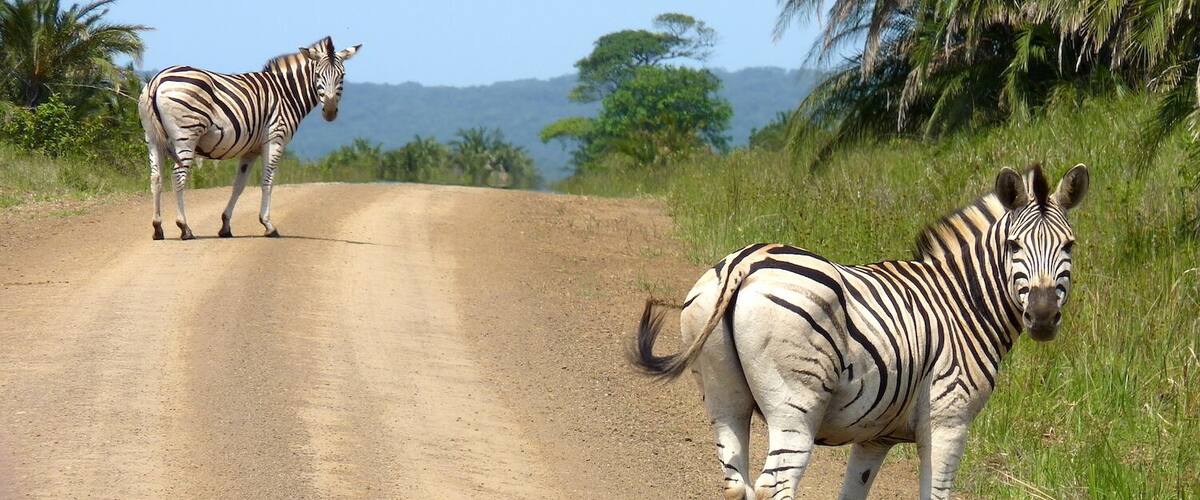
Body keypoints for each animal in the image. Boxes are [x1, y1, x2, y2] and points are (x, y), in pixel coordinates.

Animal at [137, 36, 361, 240]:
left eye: (342, 75)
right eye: (317, 75)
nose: (330, 111)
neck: (286, 93)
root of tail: (157, 80)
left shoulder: (250, 150)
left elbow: (239, 185)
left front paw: (225, 225)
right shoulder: (274, 139)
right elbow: (267, 182)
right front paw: (268, 225)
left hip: (152, 138)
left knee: (156, 178)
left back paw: (158, 228)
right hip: (186, 135)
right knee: (178, 176)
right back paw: (185, 228)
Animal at [631, 164, 1089, 499]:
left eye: (1069, 246)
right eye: (1014, 246)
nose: (1043, 316)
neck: (962, 302)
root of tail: (746, 261)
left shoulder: (875, 436)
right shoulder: (948, 420)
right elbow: (935, 494)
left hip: (722, 395)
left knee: (735, 484)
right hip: (795, 404)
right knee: (773, 486)